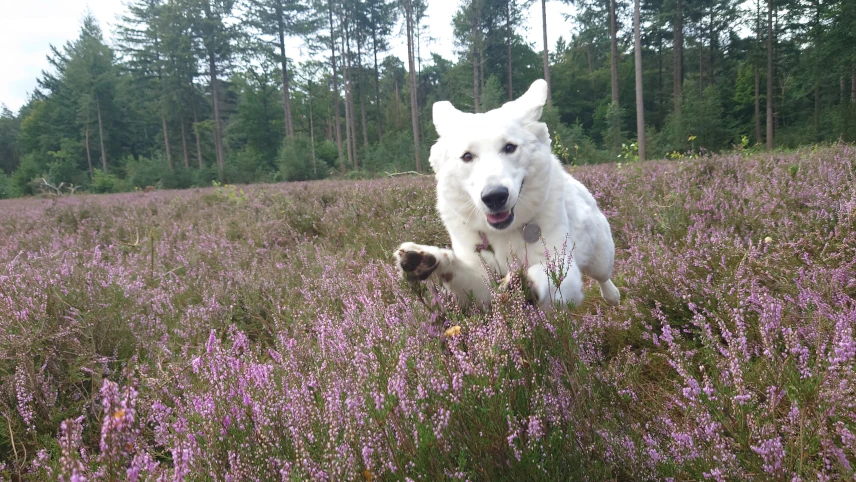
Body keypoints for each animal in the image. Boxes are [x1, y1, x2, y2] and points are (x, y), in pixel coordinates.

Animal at [392, 77, 620, 306]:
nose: (495, 197)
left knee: (603, 277)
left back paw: (611, 295)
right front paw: (425, 259)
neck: (504, 234)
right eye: (467, 156)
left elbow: (542, 273)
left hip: (601, 258)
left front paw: (522, 283)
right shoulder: (481, 286)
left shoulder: (565, 268)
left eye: (509, 147)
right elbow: (458, 269)